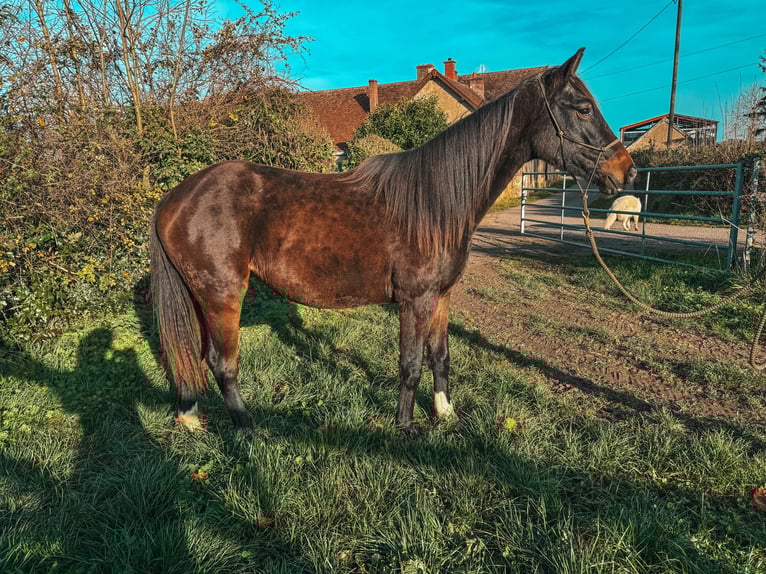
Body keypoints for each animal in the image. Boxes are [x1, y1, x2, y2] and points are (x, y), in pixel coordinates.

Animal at [150, 48, 636, 436]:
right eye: (582, 108)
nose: (625, 170)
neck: (436, 201)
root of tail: (175, 197)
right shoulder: (414, 301)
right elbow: (411, 365)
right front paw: (405, 427)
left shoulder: (440, 297)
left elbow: (440, 356)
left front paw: (445, 413)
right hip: (223, 295)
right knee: (223, 363)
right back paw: (246, 426)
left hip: (201, 296)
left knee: (195, 354)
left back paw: (189, 416)